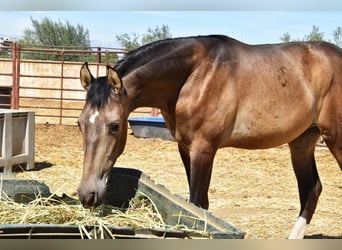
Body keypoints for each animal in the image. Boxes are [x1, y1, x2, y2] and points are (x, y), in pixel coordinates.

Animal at [77, 35, 342, 238]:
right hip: (302, 142)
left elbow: (195, 203)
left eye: (114, 125)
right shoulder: (186, 148)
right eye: (80, 124)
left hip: (335, 139)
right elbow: (200, 205)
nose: (87, 195)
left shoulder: (203, 149)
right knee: (311, 189)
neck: (195, 75)